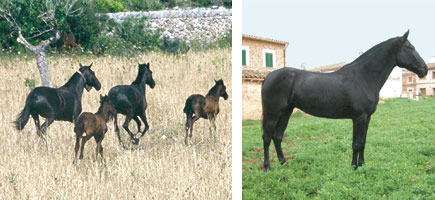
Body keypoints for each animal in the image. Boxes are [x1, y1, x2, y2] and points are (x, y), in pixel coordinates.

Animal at [262, 30, 430, 170]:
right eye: (409, 47)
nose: (425, 69)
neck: (364, 77)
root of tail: (268, 78)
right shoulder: (359, 117)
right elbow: (356, 143)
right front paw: (354, 167)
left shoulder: (367, 118)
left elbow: (362, 142)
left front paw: (362, 164)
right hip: (273, 114)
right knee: (267, 137)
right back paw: (268, 167)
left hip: (286, 112)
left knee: (277, 136)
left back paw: (283, 162)